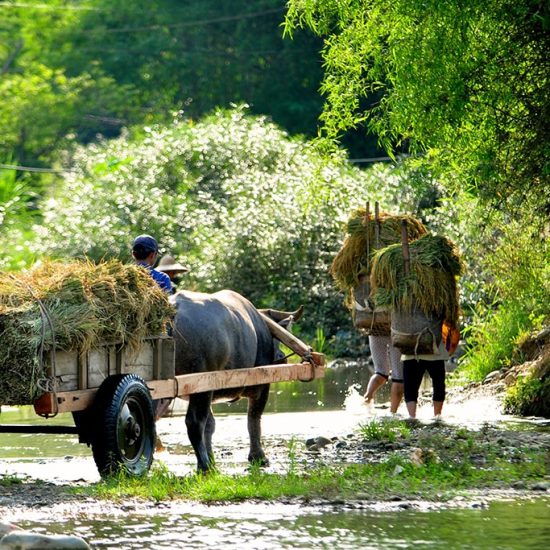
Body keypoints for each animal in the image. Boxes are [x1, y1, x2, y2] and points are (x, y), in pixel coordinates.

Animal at [170, 288, 304, 474]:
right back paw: (204, 466)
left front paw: (212, 458)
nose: (281, 358)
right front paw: (258, 457)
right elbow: (254, 419)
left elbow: (211, 425)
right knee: (194, 422)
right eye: (277, 339)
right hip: (201, 387)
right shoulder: (261, 386)